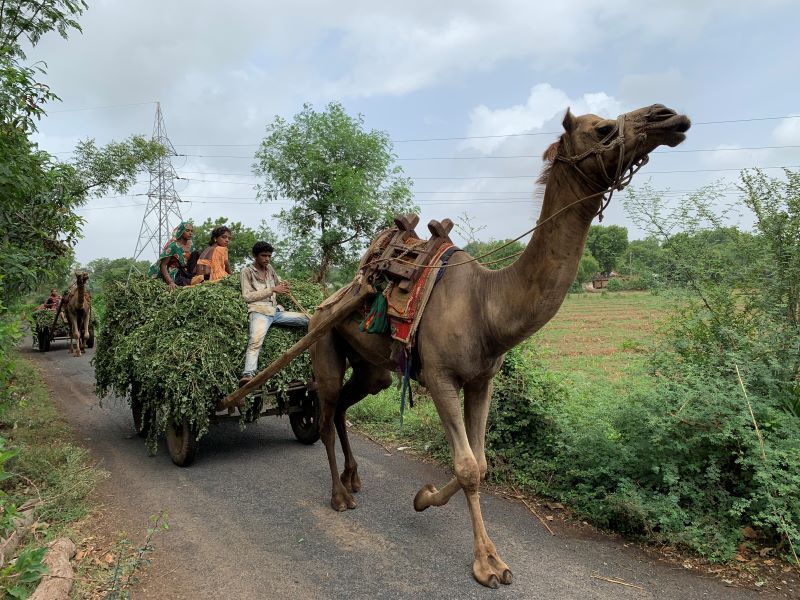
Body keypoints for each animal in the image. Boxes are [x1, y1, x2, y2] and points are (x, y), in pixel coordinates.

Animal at [309, 103, 691, 588]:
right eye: (602, 129)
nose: (668, 117)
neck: (485, 304)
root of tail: (322, 303)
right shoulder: (439, 377)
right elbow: (468, 466)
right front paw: (487, 564)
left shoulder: (482, 379)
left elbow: (482, 463)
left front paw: (424, 496)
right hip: (323, 340)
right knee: (325, 413)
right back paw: (340, 495)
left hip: (372, 368)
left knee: (344, 405)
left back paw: (355, 478)